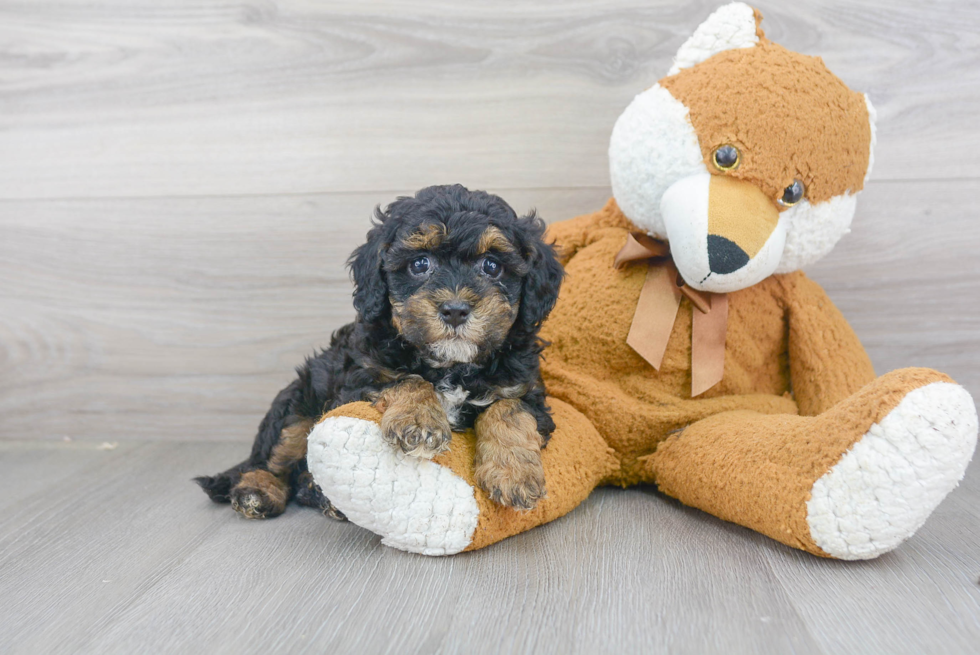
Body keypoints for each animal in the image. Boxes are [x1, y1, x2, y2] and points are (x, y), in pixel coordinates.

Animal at [195, 186, 564, 524]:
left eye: (492, 266)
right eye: (420, 264)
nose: (455, 310)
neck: (451, 366)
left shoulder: (525, 386)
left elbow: (509, 409)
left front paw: (514, 473)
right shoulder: (361, 376)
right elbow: (407, 380)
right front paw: (420, 420)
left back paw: (322, 497)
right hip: (298, 403)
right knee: (275, 455)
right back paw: (258, 491)